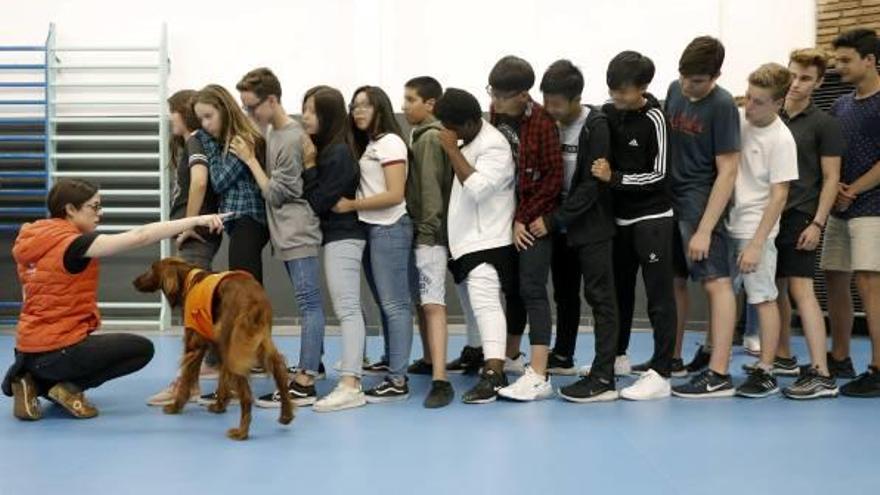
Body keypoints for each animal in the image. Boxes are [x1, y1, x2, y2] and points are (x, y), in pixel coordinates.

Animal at [132, 258, 294, 440]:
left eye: (152, 269)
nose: (134, 281)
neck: (188, 280)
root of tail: (254, 299)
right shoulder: (218, 345)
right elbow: (222, 379)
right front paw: (219, 406)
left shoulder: (194, 346)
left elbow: (186, 380)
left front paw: (175, 406)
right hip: (254, 342)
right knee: (279, 368)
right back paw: (286, 415)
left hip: (235, 348)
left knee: (247, 394)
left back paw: (241, 432)